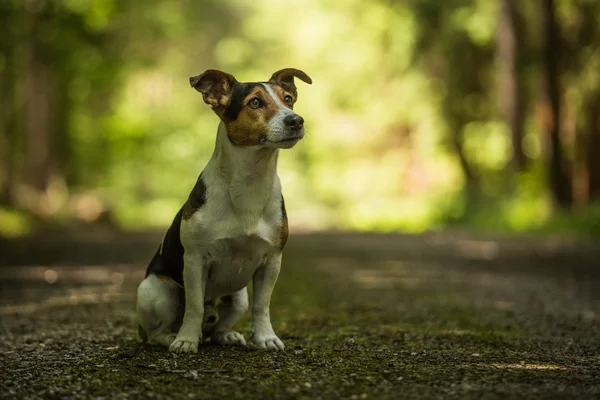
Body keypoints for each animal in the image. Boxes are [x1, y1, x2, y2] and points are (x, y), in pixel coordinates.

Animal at [137, 68, 314, 354]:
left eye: (288, 99)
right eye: (255, 102)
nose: (296, 120)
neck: (251, 181)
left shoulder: (272, 261)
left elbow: (262, 306)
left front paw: (265, 337)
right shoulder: (195, 260)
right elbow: (194, 306)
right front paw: (186, 340)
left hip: (238, 298)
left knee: (218, 327)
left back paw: (227, 335)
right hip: (157, 290)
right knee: (157, 331)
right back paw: (173, 337)